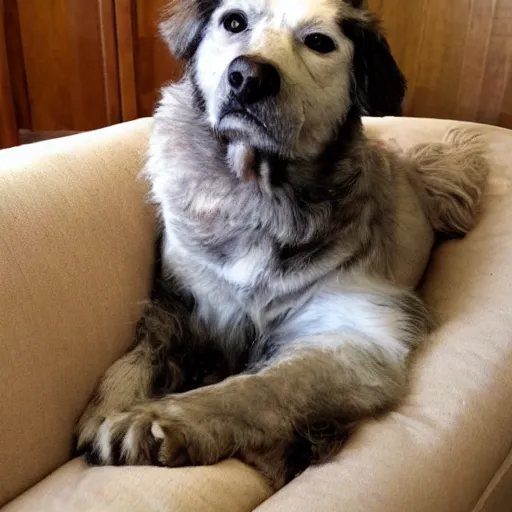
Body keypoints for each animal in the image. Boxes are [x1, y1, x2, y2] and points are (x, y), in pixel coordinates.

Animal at [75, 0, 488, 490]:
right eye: (234, 21)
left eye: (319, 42)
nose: (248, 76)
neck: (258, 194)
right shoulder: (180, 302)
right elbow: (138, 355)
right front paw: (110, 404)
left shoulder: (356, 333)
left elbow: (258, 388)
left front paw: (160, 420)